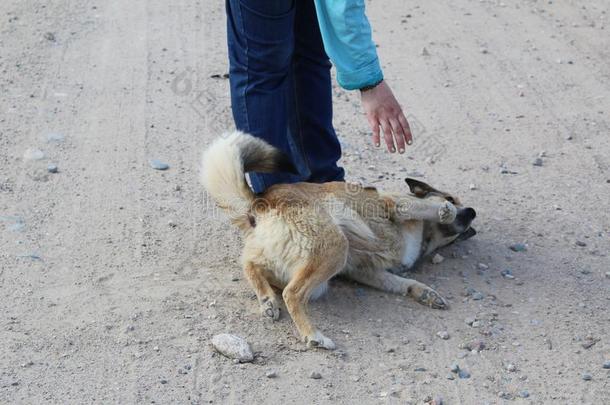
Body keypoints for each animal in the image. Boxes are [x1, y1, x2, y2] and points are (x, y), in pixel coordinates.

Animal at [200, 131, 476, 348]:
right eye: (451, 198)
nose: (472, 213)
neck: (425, 237)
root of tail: (260, 201)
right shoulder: (396, 205)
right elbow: (426, 206)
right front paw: (444, 210)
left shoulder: (367, 271)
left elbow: (402, 283)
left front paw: (424, 293)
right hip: (335, 247)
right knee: (292, 293)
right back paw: (313, 335)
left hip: (297, 265)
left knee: (249, 264)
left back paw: (267, 299)